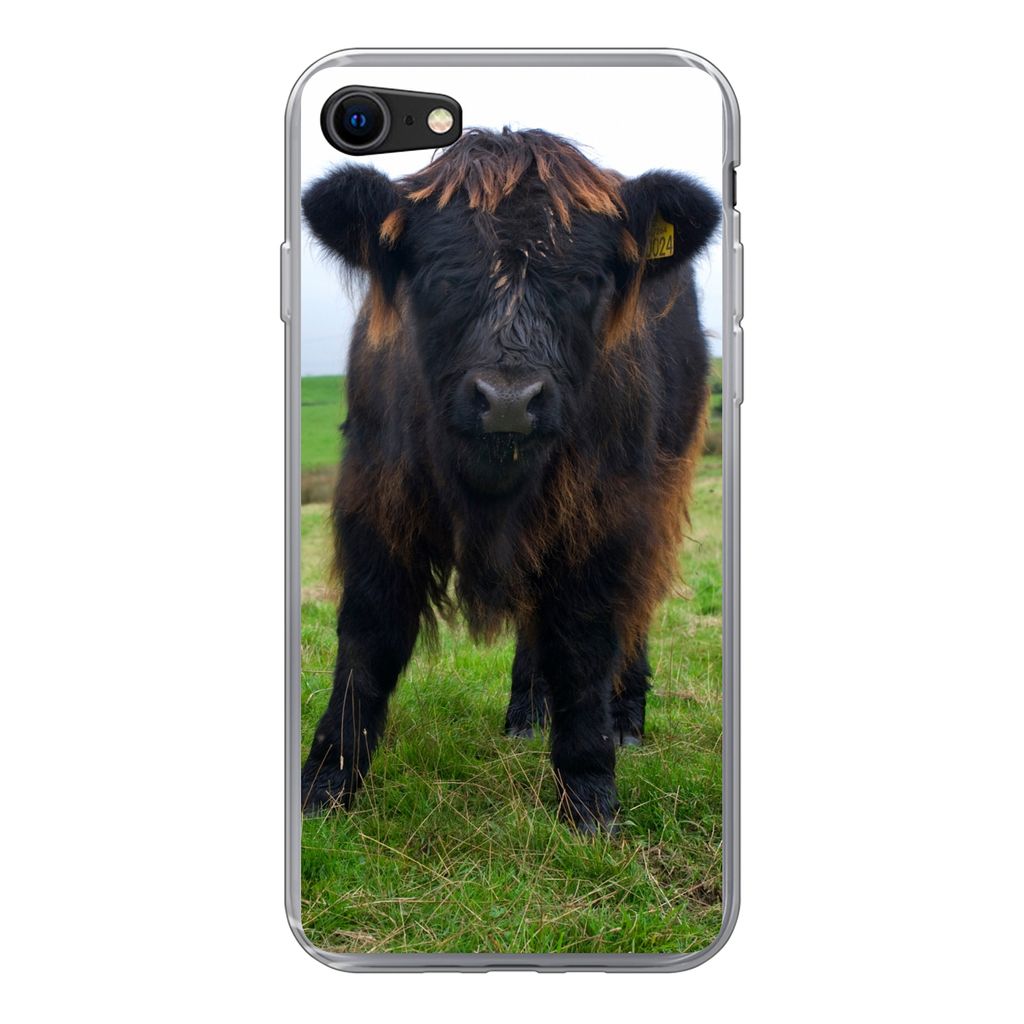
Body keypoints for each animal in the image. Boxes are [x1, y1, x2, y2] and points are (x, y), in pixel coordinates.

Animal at [301, 128, 719, 832]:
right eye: (440, 276)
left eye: (586, 281)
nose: (507, 401)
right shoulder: (376, 500)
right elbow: (367, 638)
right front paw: (325, 785)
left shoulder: (606, 515)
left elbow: (585, 642)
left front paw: (590, 796)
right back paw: (525, 712)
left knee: (635, 609)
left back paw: (626, 719)